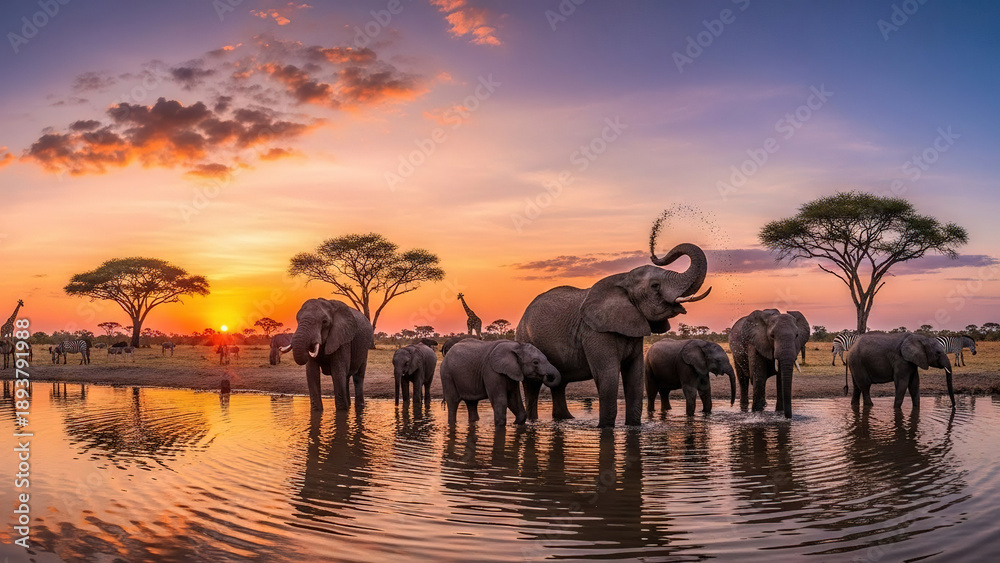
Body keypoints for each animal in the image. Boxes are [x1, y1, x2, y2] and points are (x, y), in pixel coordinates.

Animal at [516, 242, 710, 427]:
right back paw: (533, 422)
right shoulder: (594, 332)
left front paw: (633, 427)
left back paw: (565, 420)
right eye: (655, 286)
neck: (623, 279)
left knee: (559, 383)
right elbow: (607, 375)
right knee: (532, 385)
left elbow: (635, 375)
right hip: (525, 339)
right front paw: (605, 428)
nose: (654, 254)